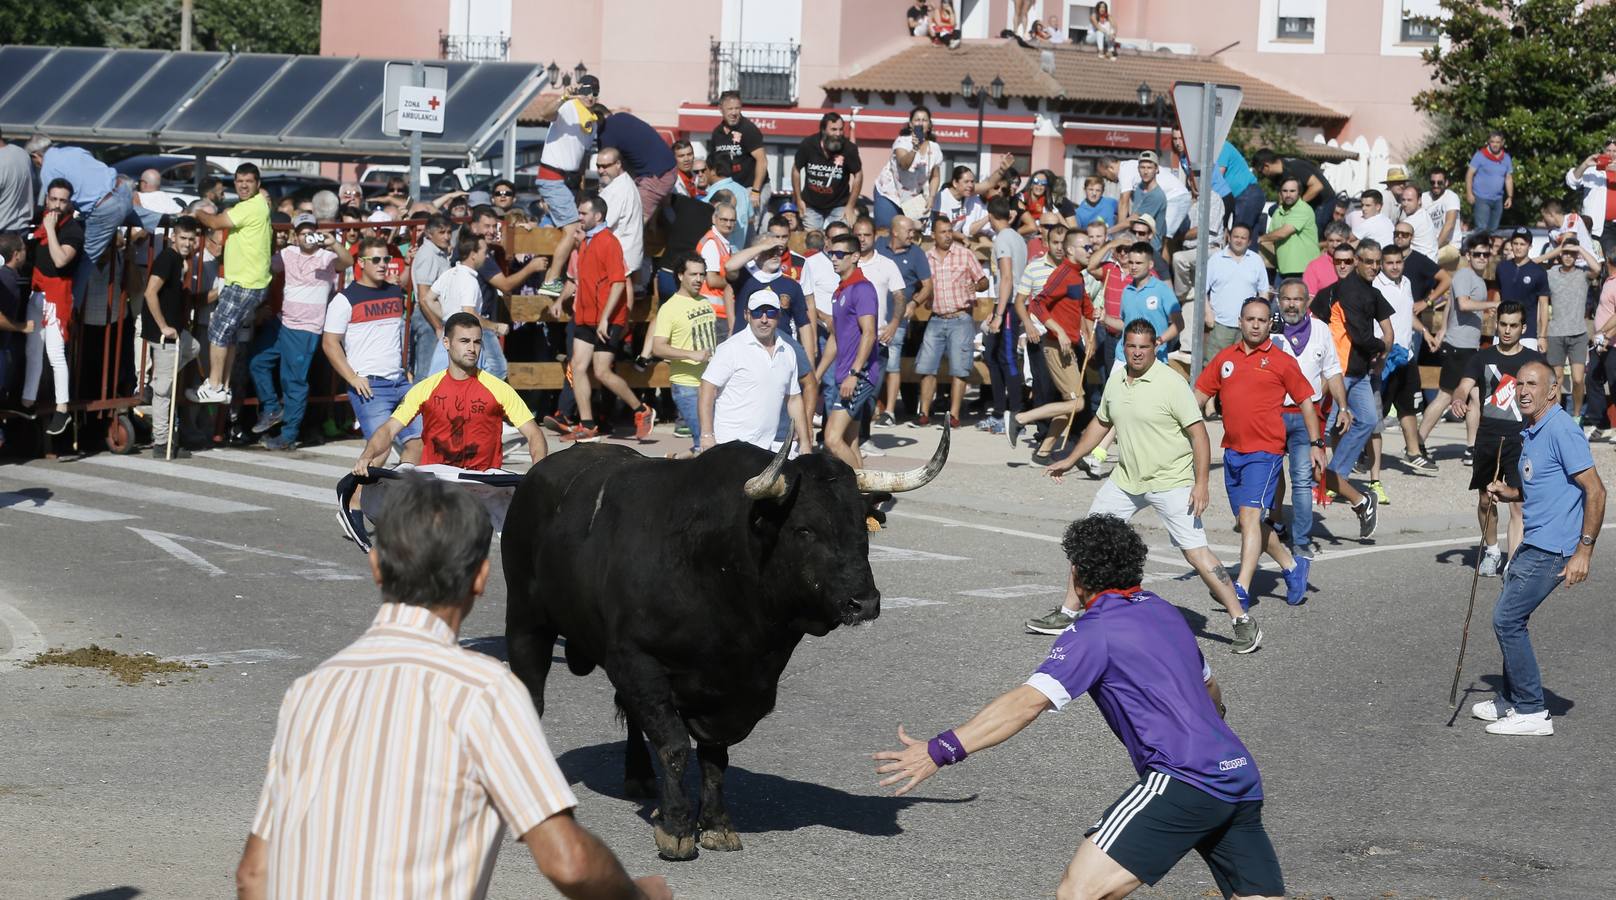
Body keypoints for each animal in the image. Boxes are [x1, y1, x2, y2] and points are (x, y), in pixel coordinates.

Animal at [500, 433, 943, 859]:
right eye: (804, 528)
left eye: (861, 527)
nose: (863, 602)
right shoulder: (637, 660)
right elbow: (675, 745)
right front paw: (677, 828)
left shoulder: (736, 691)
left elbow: (714, 758)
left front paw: (714, 824)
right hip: (526, 622)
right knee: (533, 698)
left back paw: (639, 776)